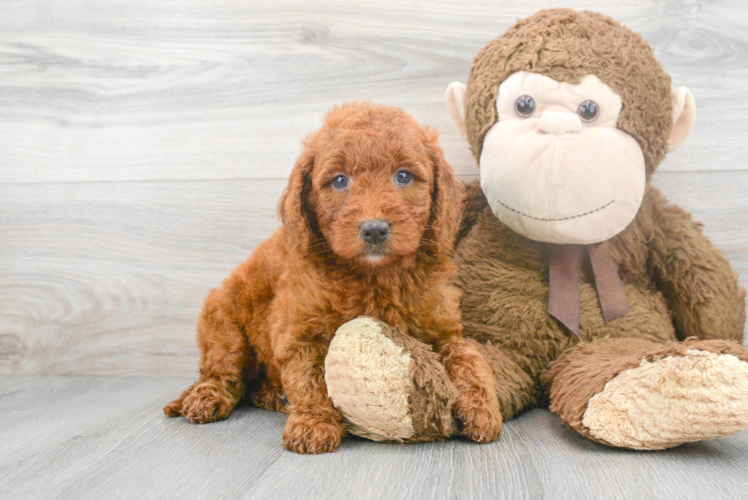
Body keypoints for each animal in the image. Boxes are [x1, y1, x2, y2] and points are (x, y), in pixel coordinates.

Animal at [164, 101, 502, 454]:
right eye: (340, 181)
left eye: (403, 176)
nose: (374, 229)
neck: (374, 276)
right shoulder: (298, 330)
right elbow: (310, 378)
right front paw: (313, 423)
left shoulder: (443, 327)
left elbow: (469, 358)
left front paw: (483, 409)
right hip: (222, 322)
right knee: (223, 371)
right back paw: (206, 397)